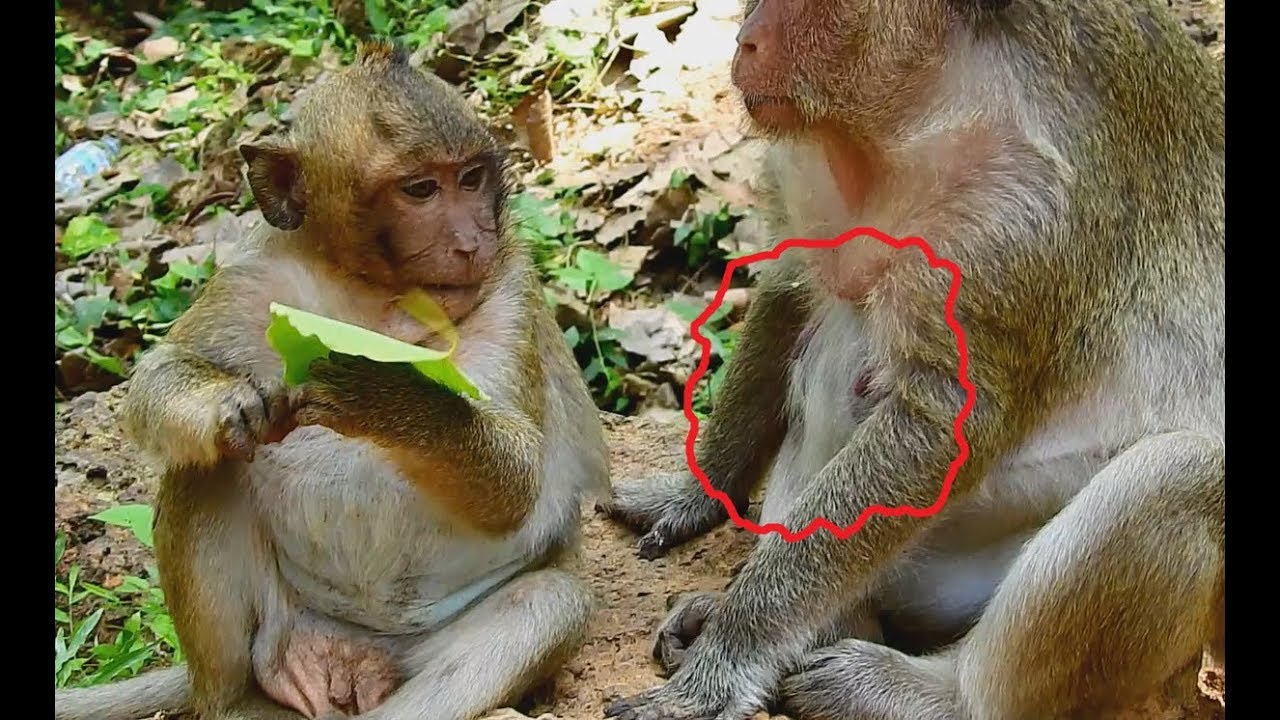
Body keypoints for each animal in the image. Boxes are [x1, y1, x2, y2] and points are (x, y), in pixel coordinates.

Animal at [54, 41, 611, 720]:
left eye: (471, 179)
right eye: (421, 189)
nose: (471, 240)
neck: (373, 299)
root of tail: (354, 654)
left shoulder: (510, 291)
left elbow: (519, 481)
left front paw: (379, 390)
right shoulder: (251, 278)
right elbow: (156, 379)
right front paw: (228, 403)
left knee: (545, 606)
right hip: (286, 624)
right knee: (203, 471)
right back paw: (233, 701)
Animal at [600, 1, 1224, 719]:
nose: (745, 41)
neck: (916, 103)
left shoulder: (1021, 206)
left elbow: (944, 420)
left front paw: (721, 666)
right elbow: (793, 283)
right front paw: (694, 492)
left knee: (1184, 472)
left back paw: (931, 693)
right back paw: (832, 623)